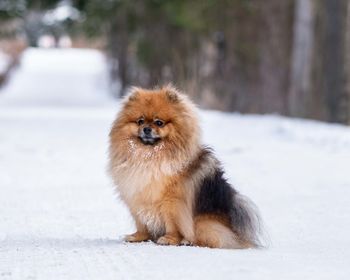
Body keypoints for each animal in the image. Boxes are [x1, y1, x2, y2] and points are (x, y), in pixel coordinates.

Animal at [109, 84, 262, 248]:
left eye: (159, 122)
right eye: (140, 121)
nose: (146, 129)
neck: (149, 156)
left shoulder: (172, 201)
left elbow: (172, 222)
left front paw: (169, 239)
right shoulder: (136, 197)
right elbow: (141, 222)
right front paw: (138, 236)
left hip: (205, 225)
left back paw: (188, 240)